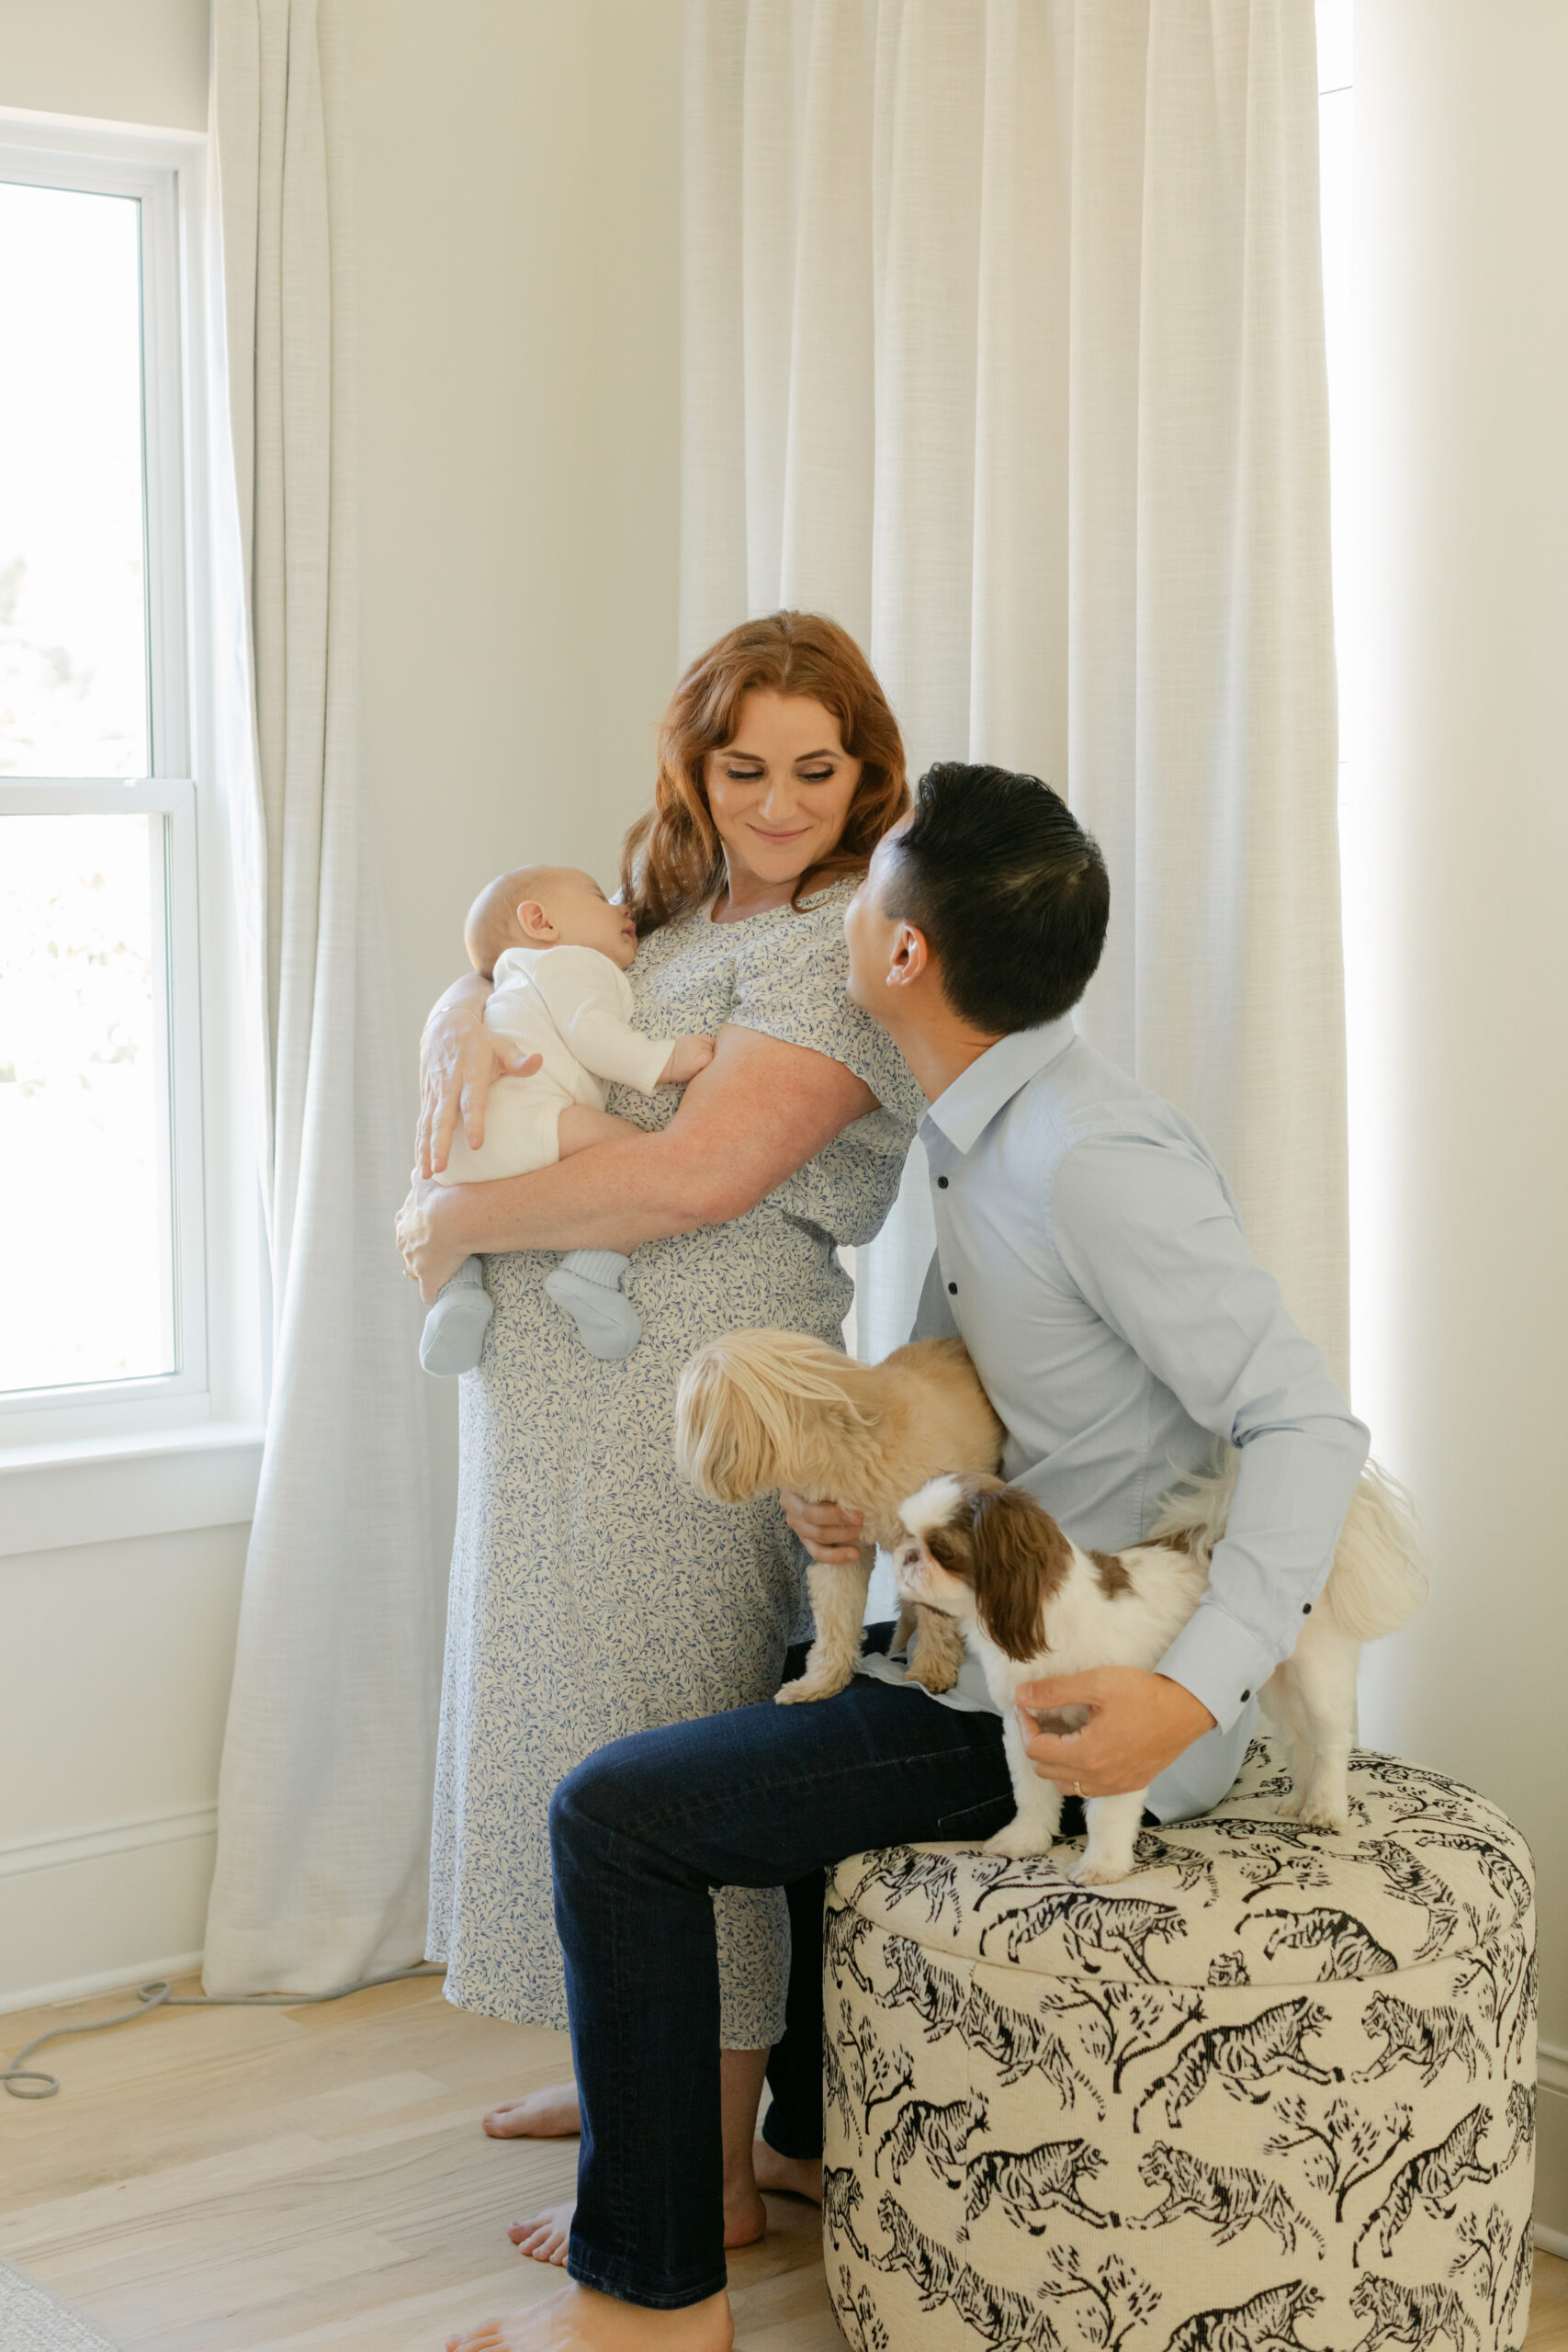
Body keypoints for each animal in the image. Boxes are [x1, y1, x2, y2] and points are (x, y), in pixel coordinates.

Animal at [677, 1336, 1006, 1702]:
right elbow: (837, 1621)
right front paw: (820, 1682)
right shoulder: (839, 1550)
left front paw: (931, 1672)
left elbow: (936, 1618)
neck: (852, 1446)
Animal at [893, 1458, 1419, 1882]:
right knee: (1297, 1739)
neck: (1046, 1621)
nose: (905, 1557)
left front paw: (1102, 1866)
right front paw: (1026, 1840)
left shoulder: (1115, 1738)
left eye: (944, 1550)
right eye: (905, 1535)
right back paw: (1299, 1798)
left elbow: (1106, 1812)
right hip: (1270, 1683)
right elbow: (1033, 1794)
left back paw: (1325, 1805)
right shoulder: (1025, 1728)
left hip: (1316, 1672)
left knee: (1330, 1739)